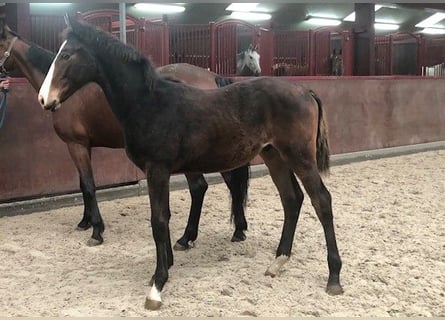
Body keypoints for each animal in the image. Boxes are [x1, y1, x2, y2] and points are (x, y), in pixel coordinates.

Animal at [0, 21, 250, 249]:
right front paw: (85, 222)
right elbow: (82, 184)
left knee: (201, 187)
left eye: (67, 55)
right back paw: (238, 230)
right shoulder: (85, 146)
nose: (45, 99)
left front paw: (97, 230)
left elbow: (88, 185)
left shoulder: (76, 145)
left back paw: (187, 238)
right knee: (231, 182)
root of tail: (213, 78)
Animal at [38, 16, 344, 310]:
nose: (44, 99)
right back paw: (279, 260)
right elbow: (165, 217)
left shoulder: (157, 169)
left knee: (322, 201)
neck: (149, 103)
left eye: (66, 55)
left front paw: (157, 284)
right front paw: (168, 264)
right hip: (274, 155)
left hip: (299, 156)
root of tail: (305, 90)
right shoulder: (158, 171)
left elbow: (159, 221)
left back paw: (333, 277)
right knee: (292, 199)